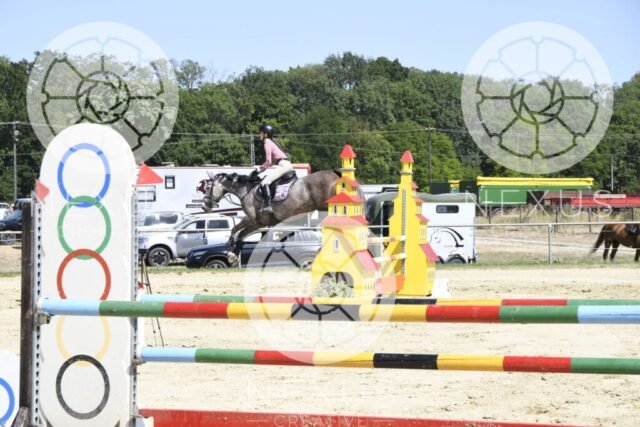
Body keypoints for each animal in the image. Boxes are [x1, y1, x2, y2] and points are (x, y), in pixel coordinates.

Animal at [198, 169, 341, 259]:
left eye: (208, 188)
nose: (204, 206)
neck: (246, 191)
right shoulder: (259, 223)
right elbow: (242, 234)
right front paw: (233, 254)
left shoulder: (251, 219)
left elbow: (235, 230)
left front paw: (230, 250)